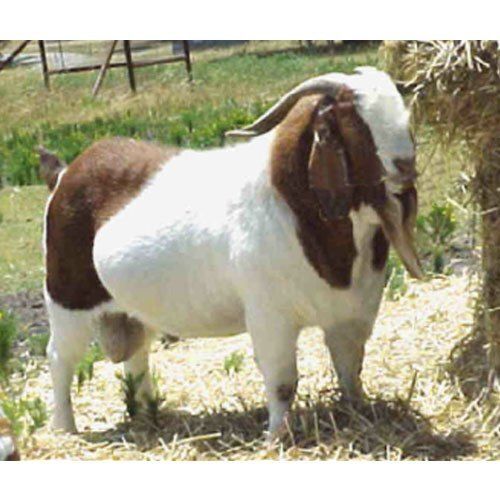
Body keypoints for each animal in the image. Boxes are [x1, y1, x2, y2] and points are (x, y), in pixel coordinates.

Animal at [42, 67, 422, 438]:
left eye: (403, 110)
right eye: (353, 121)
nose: (405, 165)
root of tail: (64, 174)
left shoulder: (352, 314)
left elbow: (350, 370)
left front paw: (359, 412)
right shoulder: (270, 317)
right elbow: (282, 383)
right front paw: (275, 438)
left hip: (131, 312)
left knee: (137, 356)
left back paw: (150, 417)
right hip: (67, 299)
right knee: (60, 358)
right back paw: (65, 429)